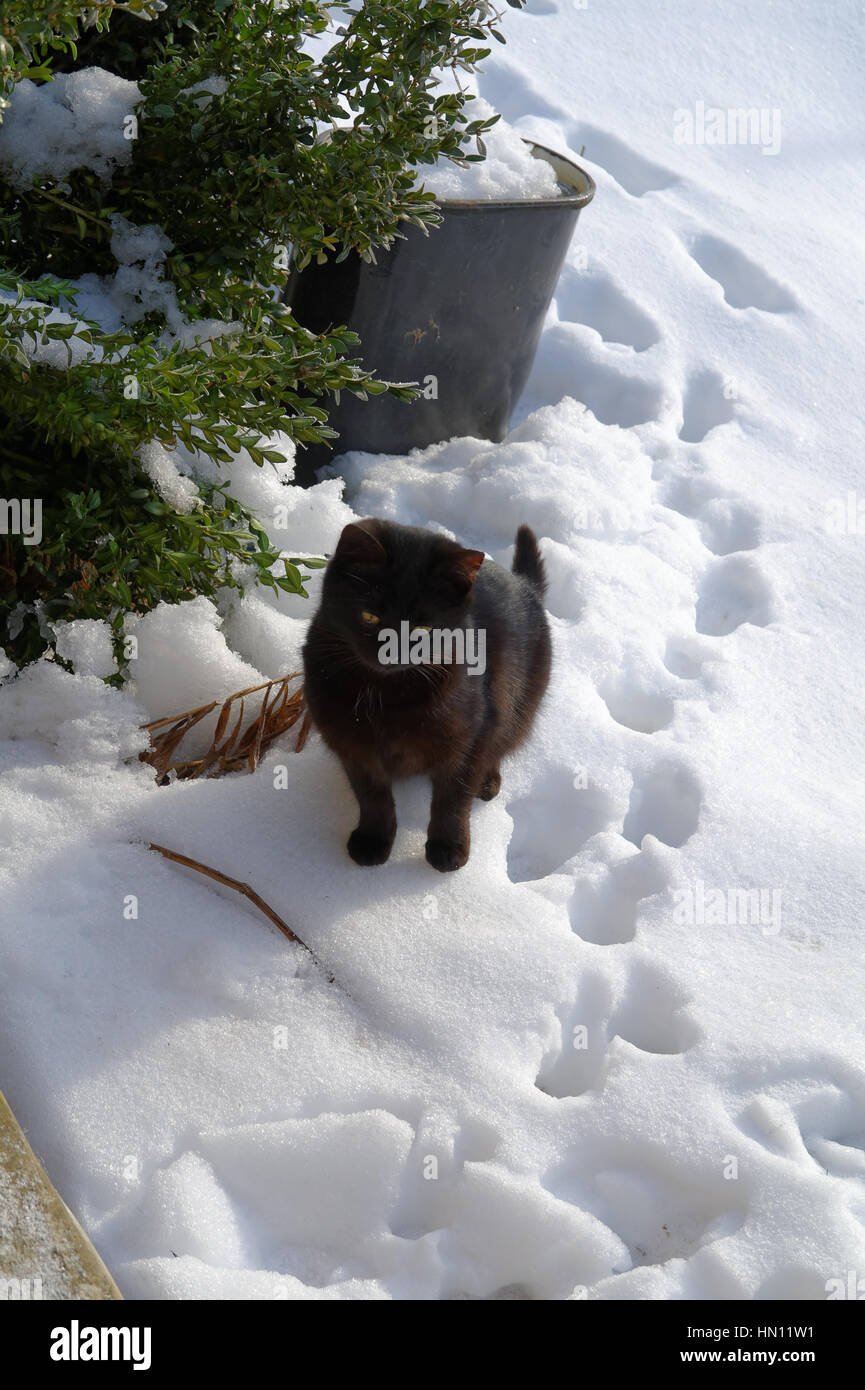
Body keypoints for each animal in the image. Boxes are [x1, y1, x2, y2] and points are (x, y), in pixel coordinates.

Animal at [301, 522, 553, 867]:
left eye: (422, 630)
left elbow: (452, 799)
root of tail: (524, 584)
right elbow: (372, 797)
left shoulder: (469, 740)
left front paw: (449, 849)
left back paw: (487, 782)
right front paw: (373, 841)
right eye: (370, 617)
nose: (390, 653)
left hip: (519, 706)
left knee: (501, 743)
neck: (385, 695)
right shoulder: (352, 747)